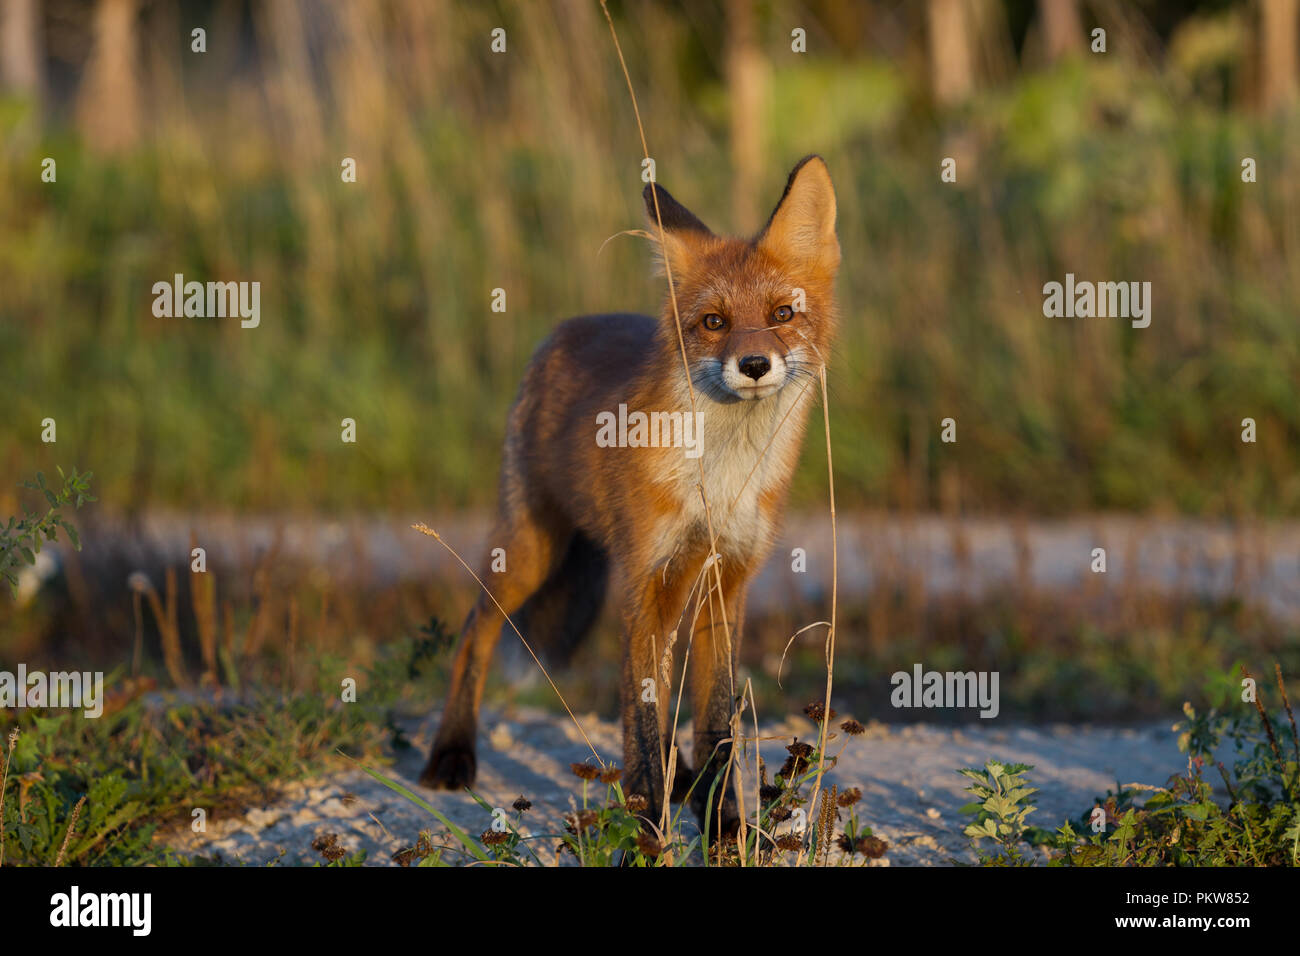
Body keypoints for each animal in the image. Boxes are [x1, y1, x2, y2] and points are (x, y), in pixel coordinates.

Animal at [421, 153, 837, 832]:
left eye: (782, 314)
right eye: (714, 323)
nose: (754, 365)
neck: (719, 478)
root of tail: (569, 326)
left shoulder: (727, 580)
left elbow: (713, 722)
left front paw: (724, 827)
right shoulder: (647, 573)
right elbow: (639, 724)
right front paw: (647, 830)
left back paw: (685, 782)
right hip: (531, 550)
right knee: (472, 634)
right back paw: (452, 753)